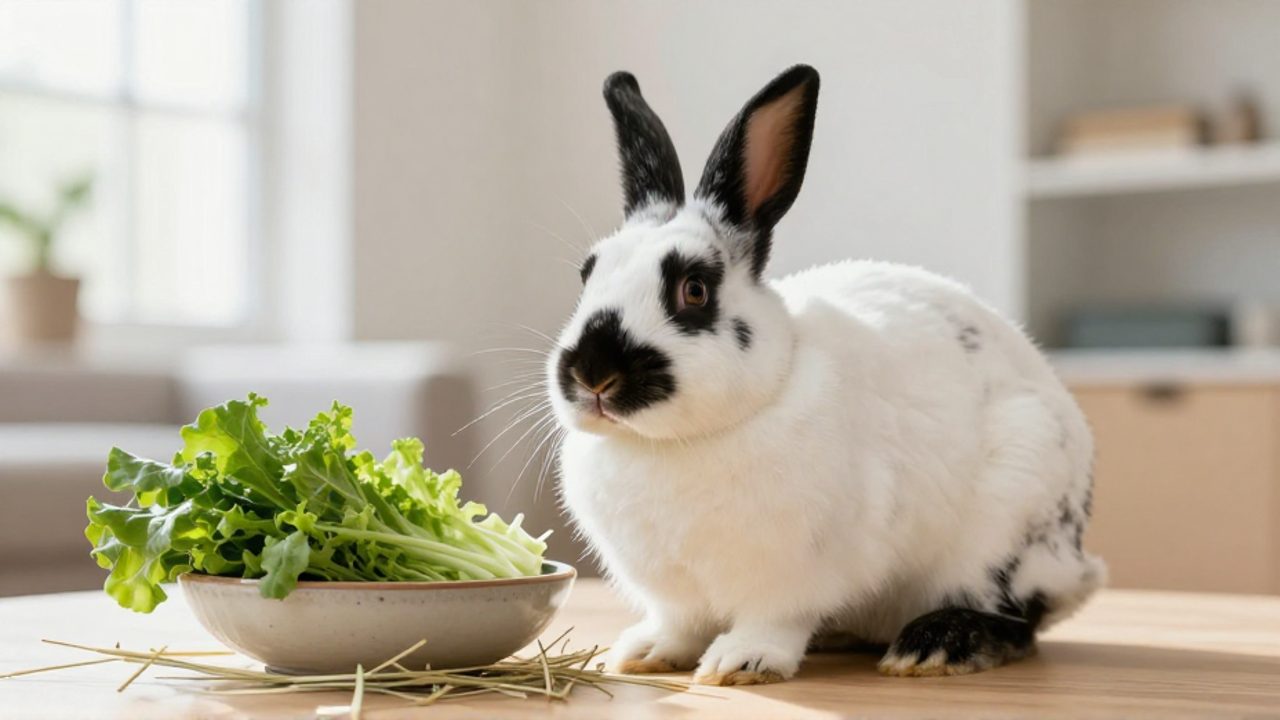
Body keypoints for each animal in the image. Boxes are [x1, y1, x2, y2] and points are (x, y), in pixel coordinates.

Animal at [546, 65, 1104, 686]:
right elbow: (679, 625)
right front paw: (644, 653)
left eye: (694, 290)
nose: (593, 374)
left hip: (1008, 526)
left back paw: (934, 646)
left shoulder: (792, 577)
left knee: (1016, 620)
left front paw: (741, 663)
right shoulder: (676, 594)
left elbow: (774, 620)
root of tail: (1079, 563)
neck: (672, 445)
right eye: (587, 275)